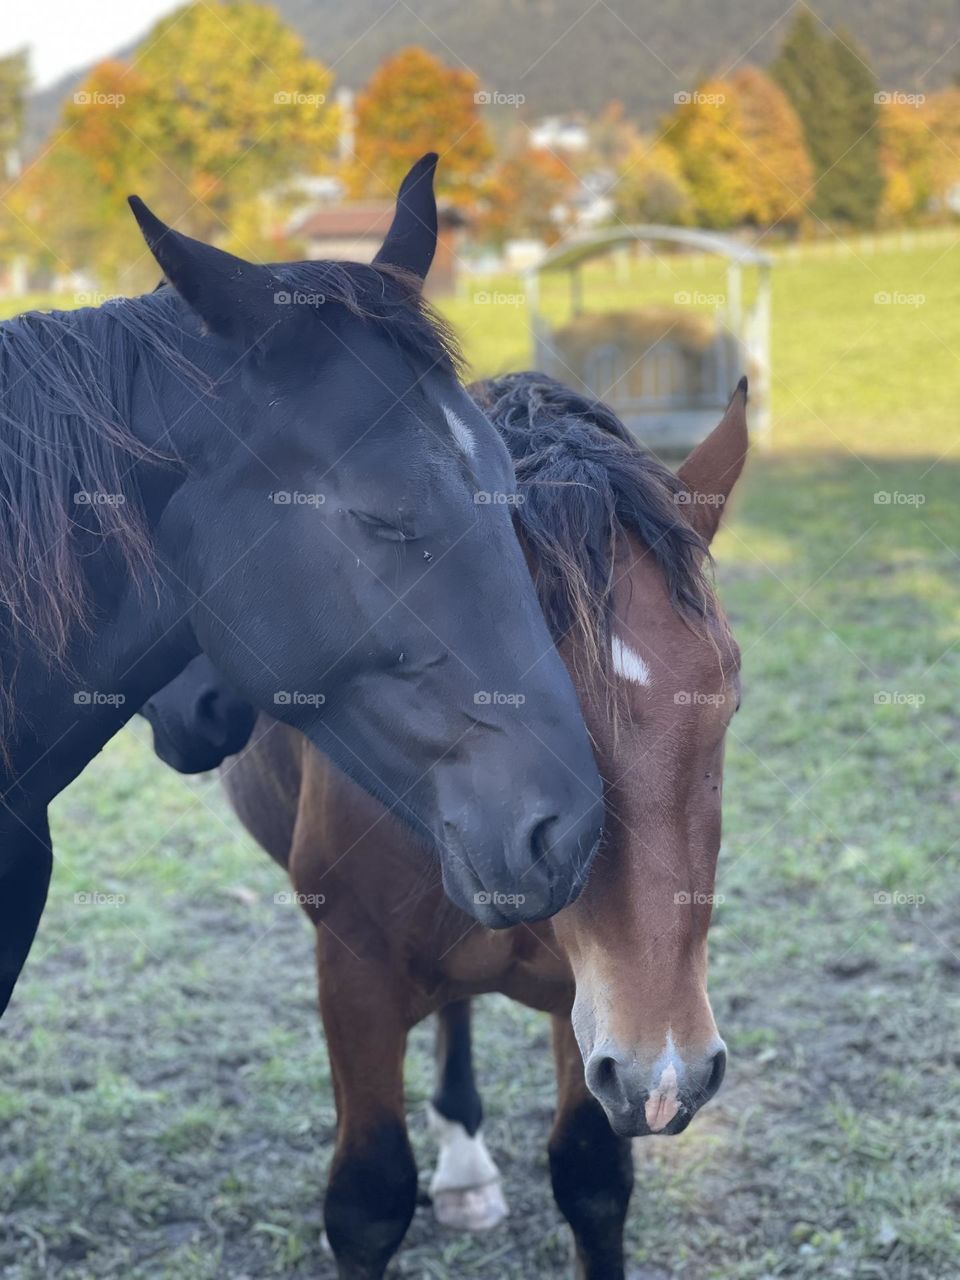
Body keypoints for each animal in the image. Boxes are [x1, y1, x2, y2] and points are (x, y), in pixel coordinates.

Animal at [143, 371, 747, 1279]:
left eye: (727, 701)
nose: (669, 1072)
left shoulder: (591, 1006)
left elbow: (592, 1180)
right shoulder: (354, 979)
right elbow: (367, 1201)